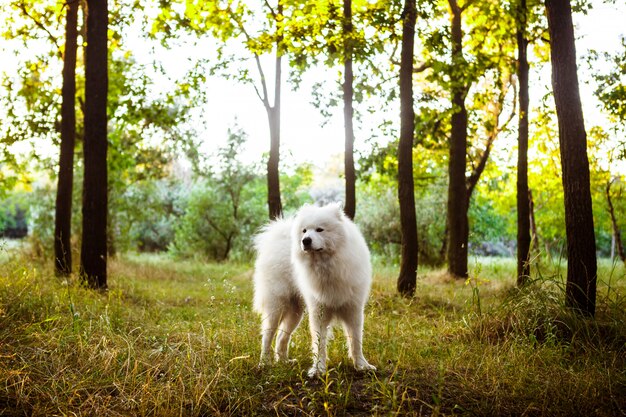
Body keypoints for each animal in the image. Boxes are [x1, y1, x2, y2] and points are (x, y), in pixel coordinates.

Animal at [250, 203, 372, 376]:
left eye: (320, 230)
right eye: (304, 230)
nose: (305, 240)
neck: (327, 266)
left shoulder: (353, 309)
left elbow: (355, 341)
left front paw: (362, 366)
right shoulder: (319, 312)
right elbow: (319, 344)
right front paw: (318, 369)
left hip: (295, 313)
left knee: (281, 337)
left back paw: (284, 362)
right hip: (276, 307)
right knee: (267, 336)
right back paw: (265, 363)